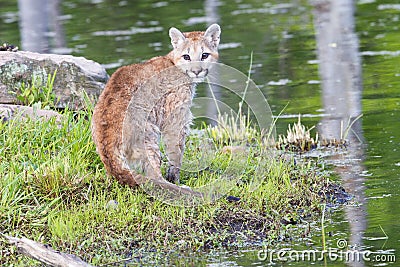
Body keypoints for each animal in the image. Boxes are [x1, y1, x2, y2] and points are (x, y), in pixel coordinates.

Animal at [92, 23, 220, 199]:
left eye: (204, 55)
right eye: (187, 56)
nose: (196, 71)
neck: (173, 61)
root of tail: (108, 153)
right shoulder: (175, 120)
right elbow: (176, 152)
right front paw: (175, 179)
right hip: (148, 133)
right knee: (153, 178)